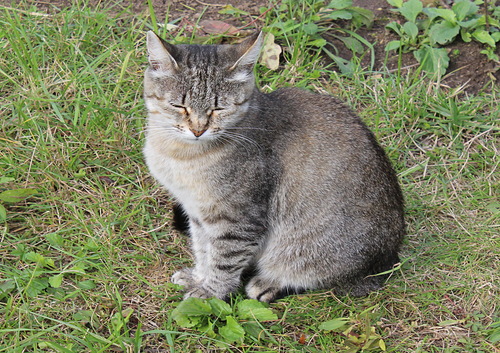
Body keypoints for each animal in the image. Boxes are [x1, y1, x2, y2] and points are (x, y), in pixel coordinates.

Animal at [143, 30, 404, 302]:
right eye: (179, 106)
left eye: (219, 108)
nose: (197, 129)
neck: (180, 154)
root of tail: (388, 258)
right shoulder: (197, 212)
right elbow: (203, 249)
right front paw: (198, 276)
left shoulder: (238, 218)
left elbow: (223, 260)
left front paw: (210, 293)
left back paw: (269, 283)